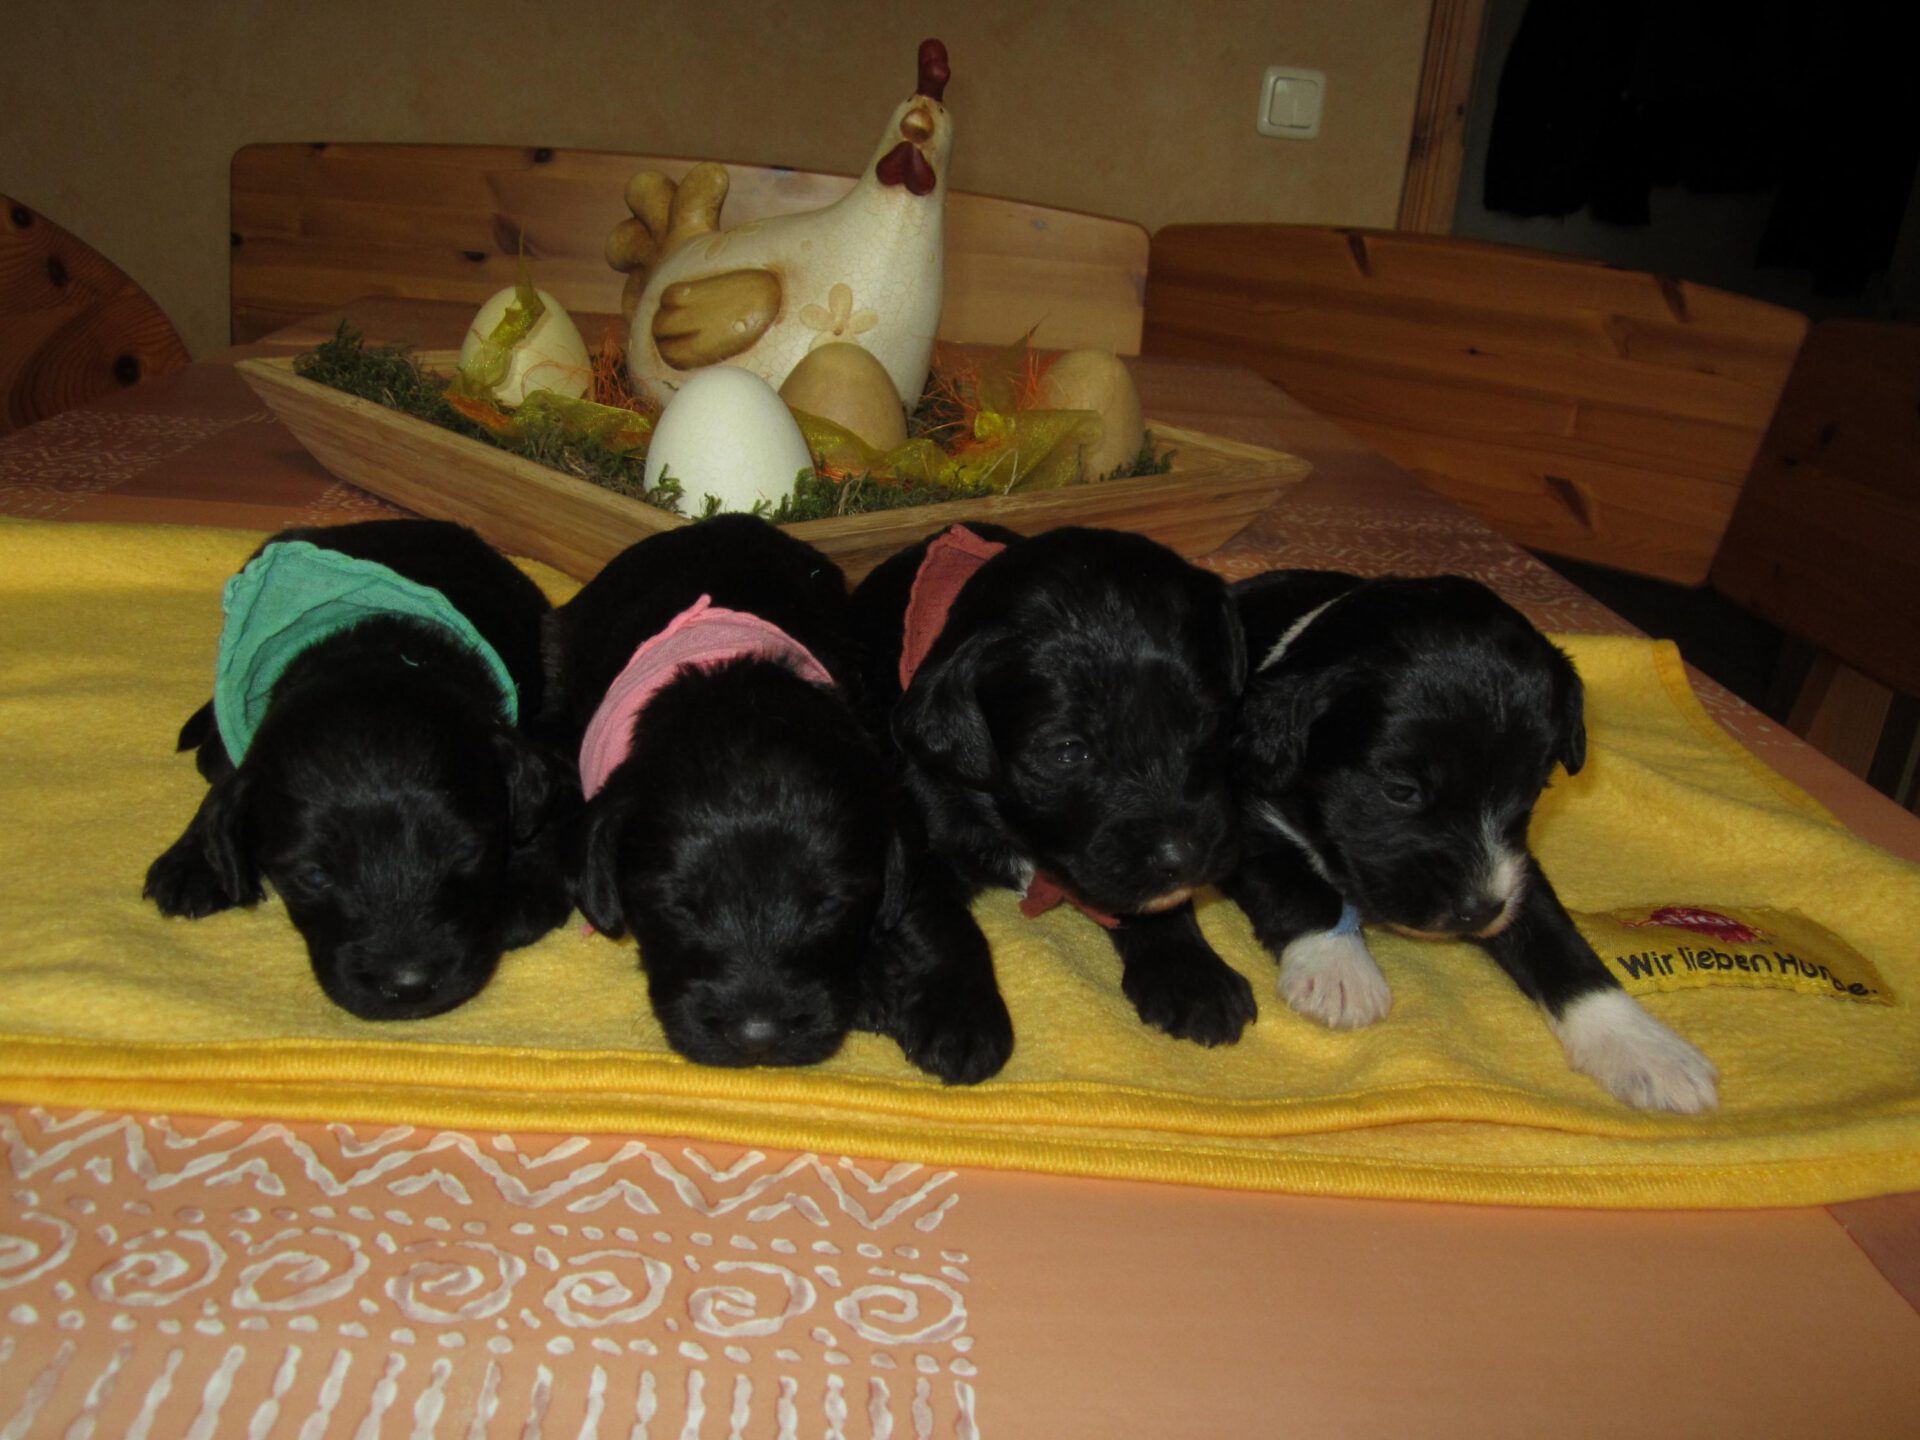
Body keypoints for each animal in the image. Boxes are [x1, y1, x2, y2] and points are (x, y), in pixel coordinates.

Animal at [143, 519, 577, 1020]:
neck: (379, 653)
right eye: (313, 876)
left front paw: (524, 892)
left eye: (467, 852)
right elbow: (226, 789)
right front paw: (192, 858)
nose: (408, 988)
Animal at [850, 523, 1254, 1046]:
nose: (1183, 857)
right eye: (1069, 751)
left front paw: (1193, 975)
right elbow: (942, 927)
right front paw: (962, 1019)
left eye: (1206, 721)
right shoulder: (915, 837)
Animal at [1225, 569, 1719, 1112]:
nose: (1479, 913)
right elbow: (1291, 878)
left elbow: (1560, 942)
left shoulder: (1516, 868)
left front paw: (1643, 1045)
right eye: (1401, 790)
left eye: (1536, 789)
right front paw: (1339, 966)